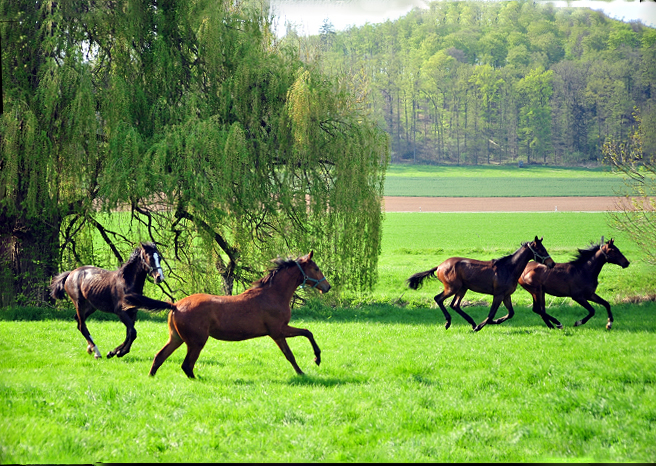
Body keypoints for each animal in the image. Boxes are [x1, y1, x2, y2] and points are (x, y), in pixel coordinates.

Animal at [151, 251, 330, 378]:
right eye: (316, 268)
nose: (327, 287)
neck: (273, 294)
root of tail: (175, 305)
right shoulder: (277, 331)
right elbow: (292, 351)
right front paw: (309, 367)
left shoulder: (280, 329)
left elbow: (306, 333)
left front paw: (314, 361)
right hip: (196, 341)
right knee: (187, 365)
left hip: (177, 338)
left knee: (159, 357)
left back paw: (151, 377)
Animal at [410, 237, 552, 332]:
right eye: (541, 250)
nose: (551, 263)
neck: (508, 268)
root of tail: (440, 266)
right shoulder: (498, 294)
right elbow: (491, 315)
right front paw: (480, 326)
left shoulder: (506, 295)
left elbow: (511, 313)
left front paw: (495, 321)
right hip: (452, 287)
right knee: (438, 299)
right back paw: (449, 322)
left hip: (462, 288)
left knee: (455, 305)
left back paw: (471, 322)